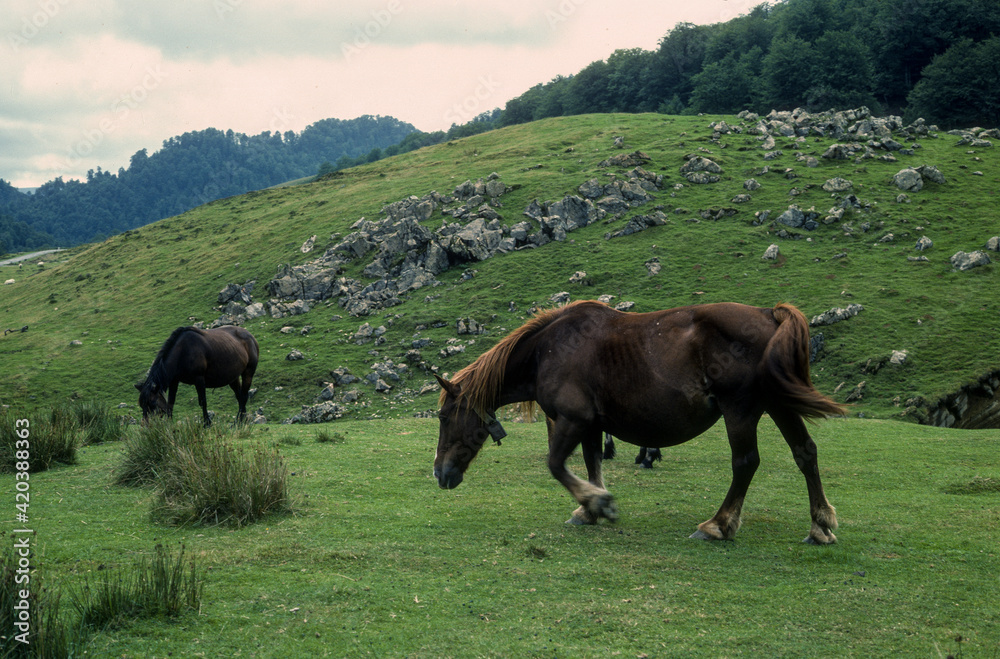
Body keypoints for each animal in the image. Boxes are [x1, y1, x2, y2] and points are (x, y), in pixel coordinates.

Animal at [433, 300, 845, 544]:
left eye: (443, 416)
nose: (439, 473)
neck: (547, 351)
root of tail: (767, 314)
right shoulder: (591, 424)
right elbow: (592, 463)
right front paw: (589, 509)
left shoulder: (572, 419)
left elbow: (556, 465)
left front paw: (598, 503)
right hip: (777, 405)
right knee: (805, 453)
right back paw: (820, 525)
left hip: (740, 411)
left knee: (745, 463)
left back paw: (718, 524)